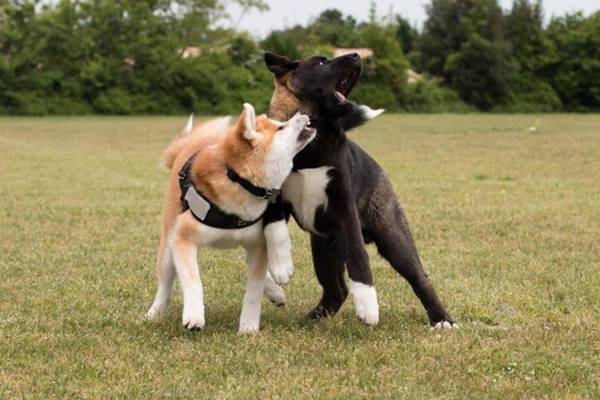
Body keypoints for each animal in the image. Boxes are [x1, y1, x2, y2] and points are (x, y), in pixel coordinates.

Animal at [146, 103, 314, 332]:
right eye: (280, 127)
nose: (303, 113)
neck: (237, 180)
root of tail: (189, 144)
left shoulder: (258, 243)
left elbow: (253, 291)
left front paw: (248, 327)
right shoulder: (184, 238)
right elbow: (192, 280)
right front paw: (194, 315)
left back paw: (275, 291)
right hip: (168, 245)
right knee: (164, 284)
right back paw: (154, 312)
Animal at [264, 51, 458, 330]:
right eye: (321, 62)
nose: (356, 54)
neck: (313, 140)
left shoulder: (345, 208)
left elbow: (358, 258)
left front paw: (368, 307)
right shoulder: (270, 195)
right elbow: (273, 231)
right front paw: (279, 269)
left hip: (393, 237)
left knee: (421, 279)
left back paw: (442, 320)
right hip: (323, 247)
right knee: (336, 290)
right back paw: (312, 318)